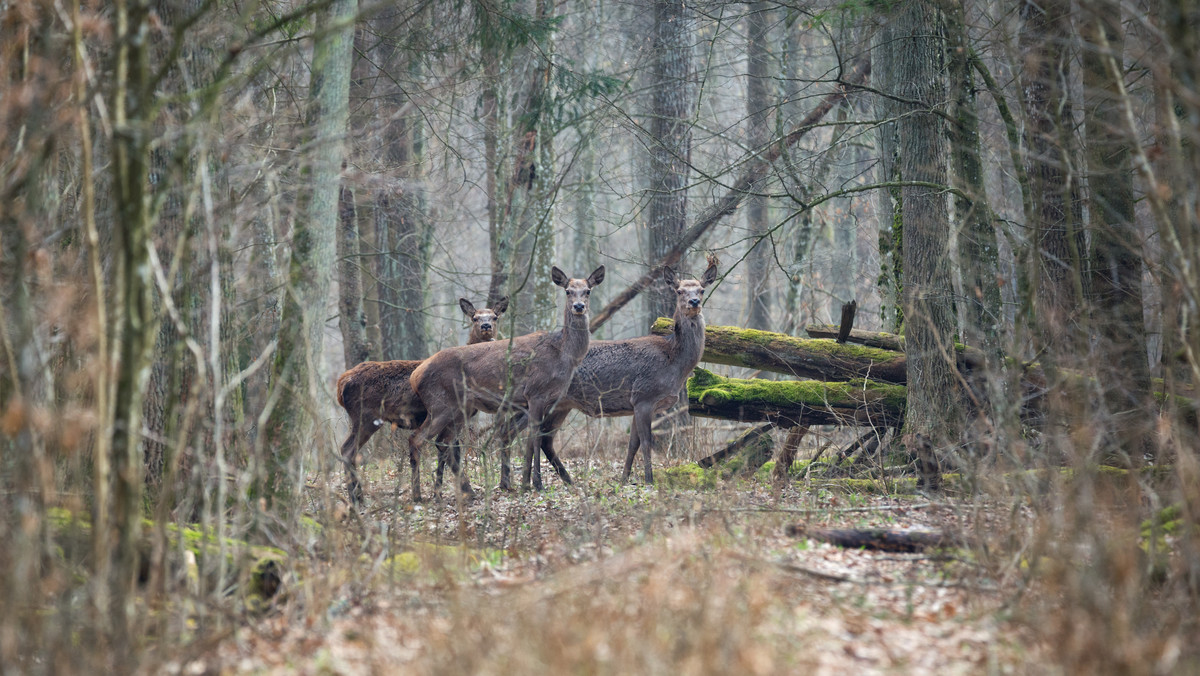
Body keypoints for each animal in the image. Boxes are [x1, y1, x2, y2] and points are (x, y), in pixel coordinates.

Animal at [333, 296, 506, 501]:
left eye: (495, 316)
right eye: (475, 318)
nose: (486, 326)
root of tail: (341, 383)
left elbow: (449, 451)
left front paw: (445, 491)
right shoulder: (456, 415)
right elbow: (450, 451)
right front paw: (461, 491)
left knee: (347, 450)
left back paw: (358, 497)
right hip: (366, 417)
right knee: (348, 450)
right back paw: (360, 497)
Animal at [408, 264, 604, 501]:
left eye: (588, 291)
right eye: (567, 291)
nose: (579, 306)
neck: (563, 355)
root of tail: (415, 375)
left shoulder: (539, 401)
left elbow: (527, 439)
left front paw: (523, 483)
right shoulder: (536, 393)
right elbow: (535, 438)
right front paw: (536, 484)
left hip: (460, 408)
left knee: (442, 442)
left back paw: (451, 492)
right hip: (440, 404)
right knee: (417, 439)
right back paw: (418, 495)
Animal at [501, 254, 715, 487]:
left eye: (701, 289)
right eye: (679, 291)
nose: (694, 302)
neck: (675, 364)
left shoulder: (636, 404)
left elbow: (632, 444)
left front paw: (623, 479)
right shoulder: (644, 396)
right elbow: (646, 443)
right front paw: (649, 481)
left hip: (561, 404)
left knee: (543, 439)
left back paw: (565, 481)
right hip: (536, 397)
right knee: (514, 431)